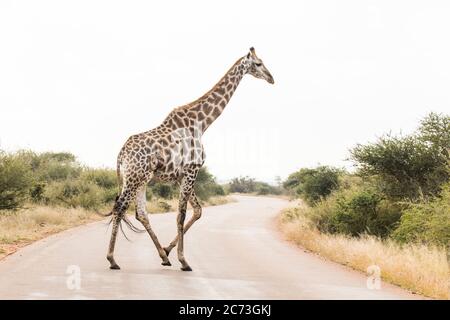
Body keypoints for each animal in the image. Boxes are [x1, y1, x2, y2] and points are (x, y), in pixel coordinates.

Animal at [106, 47, 274, 272]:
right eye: (258, 63)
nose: (271, 78)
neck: (201, 123)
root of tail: (122, 153)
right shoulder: (192, 170)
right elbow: (182, 214)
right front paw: (184, 261)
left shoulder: (181, 175)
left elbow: (198, 211)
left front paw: (168, 252)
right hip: (134, 176)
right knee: (120, 207)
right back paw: (112, 259)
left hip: (139, 179)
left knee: (140, 213)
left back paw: (162, 256)